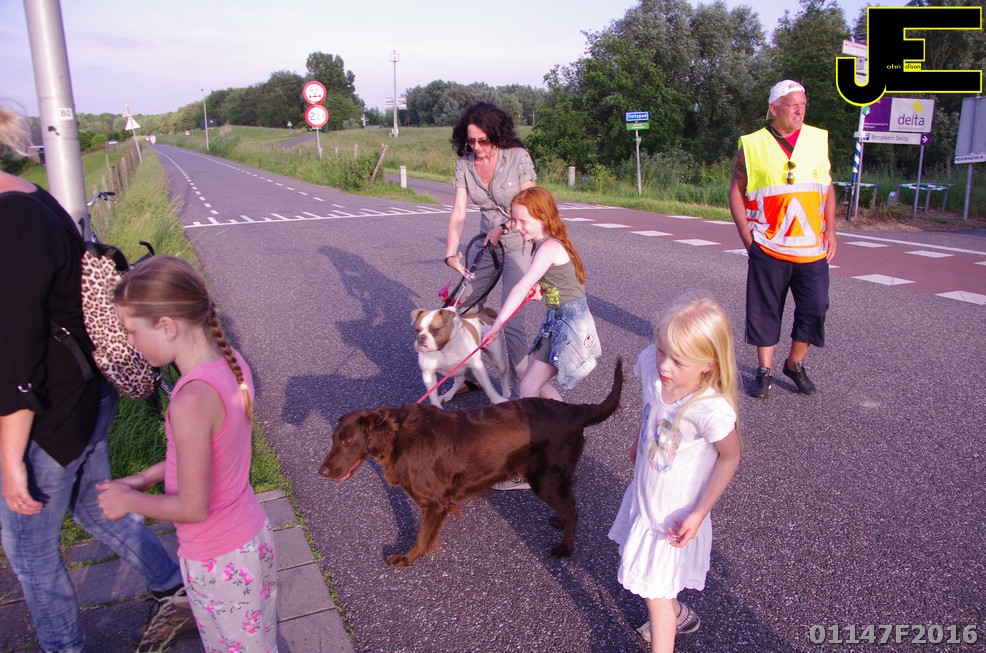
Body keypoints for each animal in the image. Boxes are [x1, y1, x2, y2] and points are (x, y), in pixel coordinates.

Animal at [319, 359, 622, 567]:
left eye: (347, 441)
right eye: (334, 438)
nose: (321, 471)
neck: (400, 436)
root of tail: (575, 411)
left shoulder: (436, 502)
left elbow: (422, 536)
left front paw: (407, 558)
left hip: (544, 478)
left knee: (571, 510)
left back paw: (565, 549)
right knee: (571, 503)